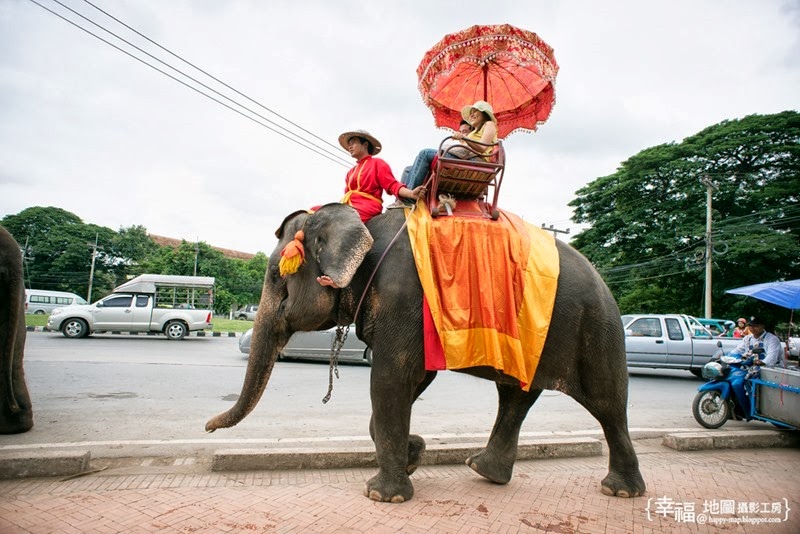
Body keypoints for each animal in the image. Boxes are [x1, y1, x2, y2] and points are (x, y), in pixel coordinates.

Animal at [206, 203, 644, 504]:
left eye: (275, 276)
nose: (207, 428)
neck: (362, 225)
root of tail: (605, 285)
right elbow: (414, 380)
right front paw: (413, 455)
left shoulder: (404, 298)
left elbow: (390, 379)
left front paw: (384, 496)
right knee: (516, 396)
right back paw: (485, 471)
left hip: (596, 328)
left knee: (607, 402)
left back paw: (621, 491)